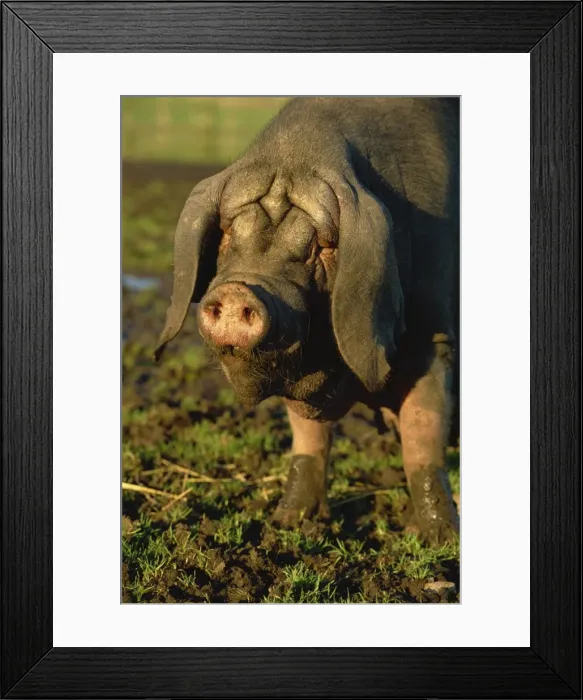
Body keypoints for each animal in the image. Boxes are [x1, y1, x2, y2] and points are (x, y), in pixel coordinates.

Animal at [155, 97, 459, 543]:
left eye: (320, 245)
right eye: (227, 233)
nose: (239, 291)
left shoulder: (432, 334)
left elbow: (423, 440)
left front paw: (441, 540)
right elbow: (308, 437)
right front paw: (288, 522)